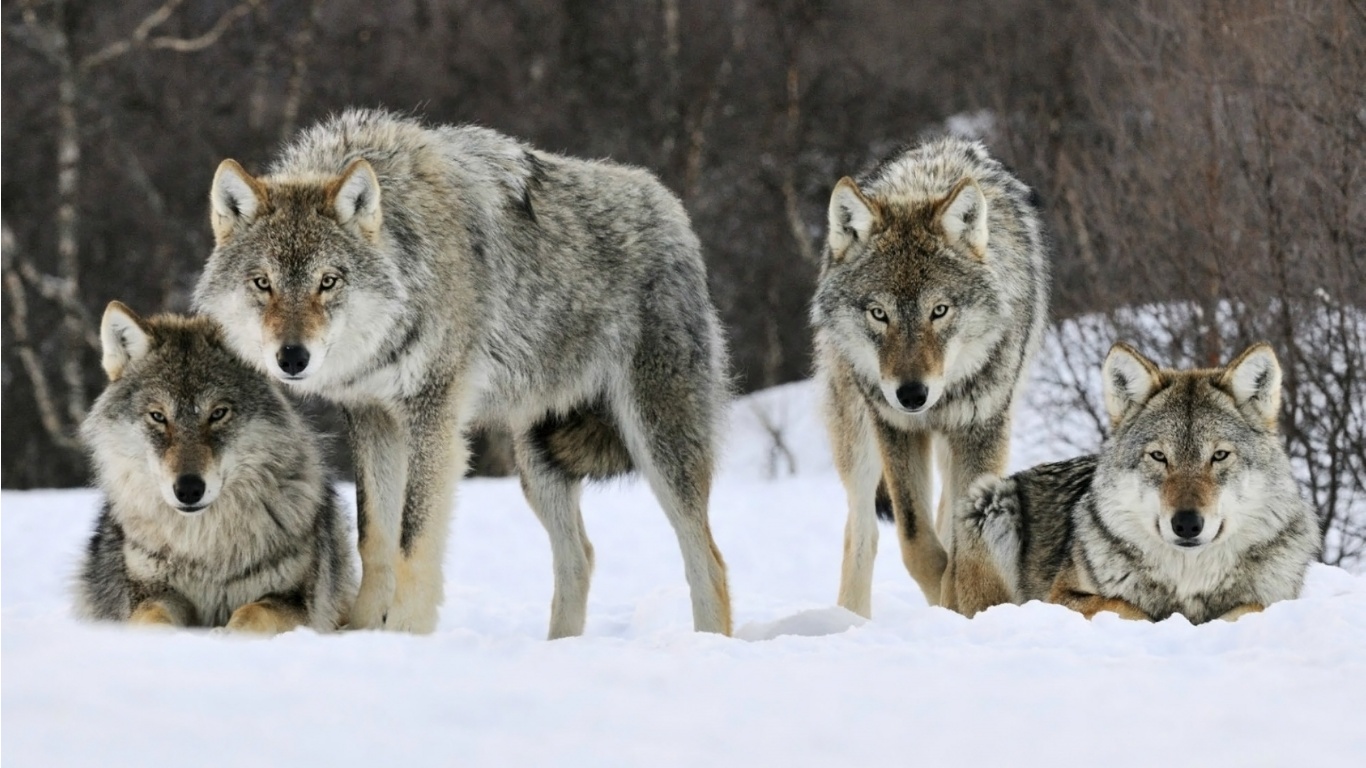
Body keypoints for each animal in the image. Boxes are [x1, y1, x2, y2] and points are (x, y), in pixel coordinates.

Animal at [76, 302, 356, 633]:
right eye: (158, 416)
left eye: (218, 413)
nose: (188, 489)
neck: (204, 549)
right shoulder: (152, 593)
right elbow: (152, 618)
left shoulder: (294, 601)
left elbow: (252, 613)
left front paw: (227, 635)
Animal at [194, 109, 732, 637]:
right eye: (262, 283)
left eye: (328, 281)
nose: (292, 358)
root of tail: (672, 208)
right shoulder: (372, 418)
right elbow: (374, 538)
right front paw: (363, 632)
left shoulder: (433, 416)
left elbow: (412, 539)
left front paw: (405, 635)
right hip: (538, 463)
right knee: (580, 556)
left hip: (658, 444)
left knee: (708, 559)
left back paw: (708, 642)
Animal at [812, 137, 1049, 616]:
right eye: (878, 313)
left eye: (939, 311)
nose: (911, 394)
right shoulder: (896, 428)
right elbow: (916, 541)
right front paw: (944, 596)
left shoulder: (982, 428)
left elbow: (961, 540)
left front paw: (961, 602)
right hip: (857, 437)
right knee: (861, 531)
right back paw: (849, 620)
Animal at [951, 342, 1322, 623]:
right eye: (1158, 456)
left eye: (1219, 456)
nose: (1187, 524)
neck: (1188, 580)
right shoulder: (1060, 596)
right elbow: (1126, 607)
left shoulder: (1273, 599)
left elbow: (1250, 607)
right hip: (990, 500)